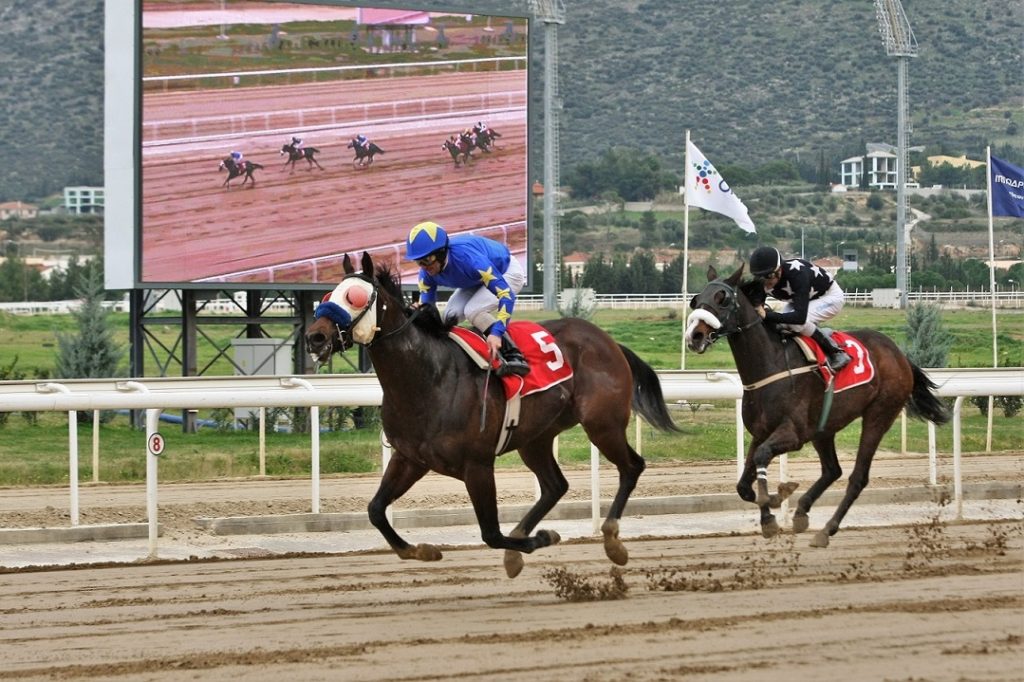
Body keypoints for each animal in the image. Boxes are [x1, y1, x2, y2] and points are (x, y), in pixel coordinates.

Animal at [303, 251, 679, 577]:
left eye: (354, 296)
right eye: (326, 297)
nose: (315, 336)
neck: (428, 378)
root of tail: (609, 341)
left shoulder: (478, 465)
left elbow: (491, 533)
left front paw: (542, 538)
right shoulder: (410, 458)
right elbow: (376, 510)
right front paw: (422, 550)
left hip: (602, 424)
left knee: (632, 466)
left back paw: (612, 539)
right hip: (536, 437)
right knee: (555, 485)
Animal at [684, 262, 946, 544]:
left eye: (722, 299)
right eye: (696, 299)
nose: (694, 336)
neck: (771, 364)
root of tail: (899, 355)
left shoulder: (794, 433)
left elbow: (762, 457)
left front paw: (775, 502)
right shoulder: (762, 431)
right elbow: (744, 484)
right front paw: (770, 510)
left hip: (879, 415)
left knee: (857, 477)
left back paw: (827, 530)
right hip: (824, 427)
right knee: (832, 470)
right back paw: (801, 512)